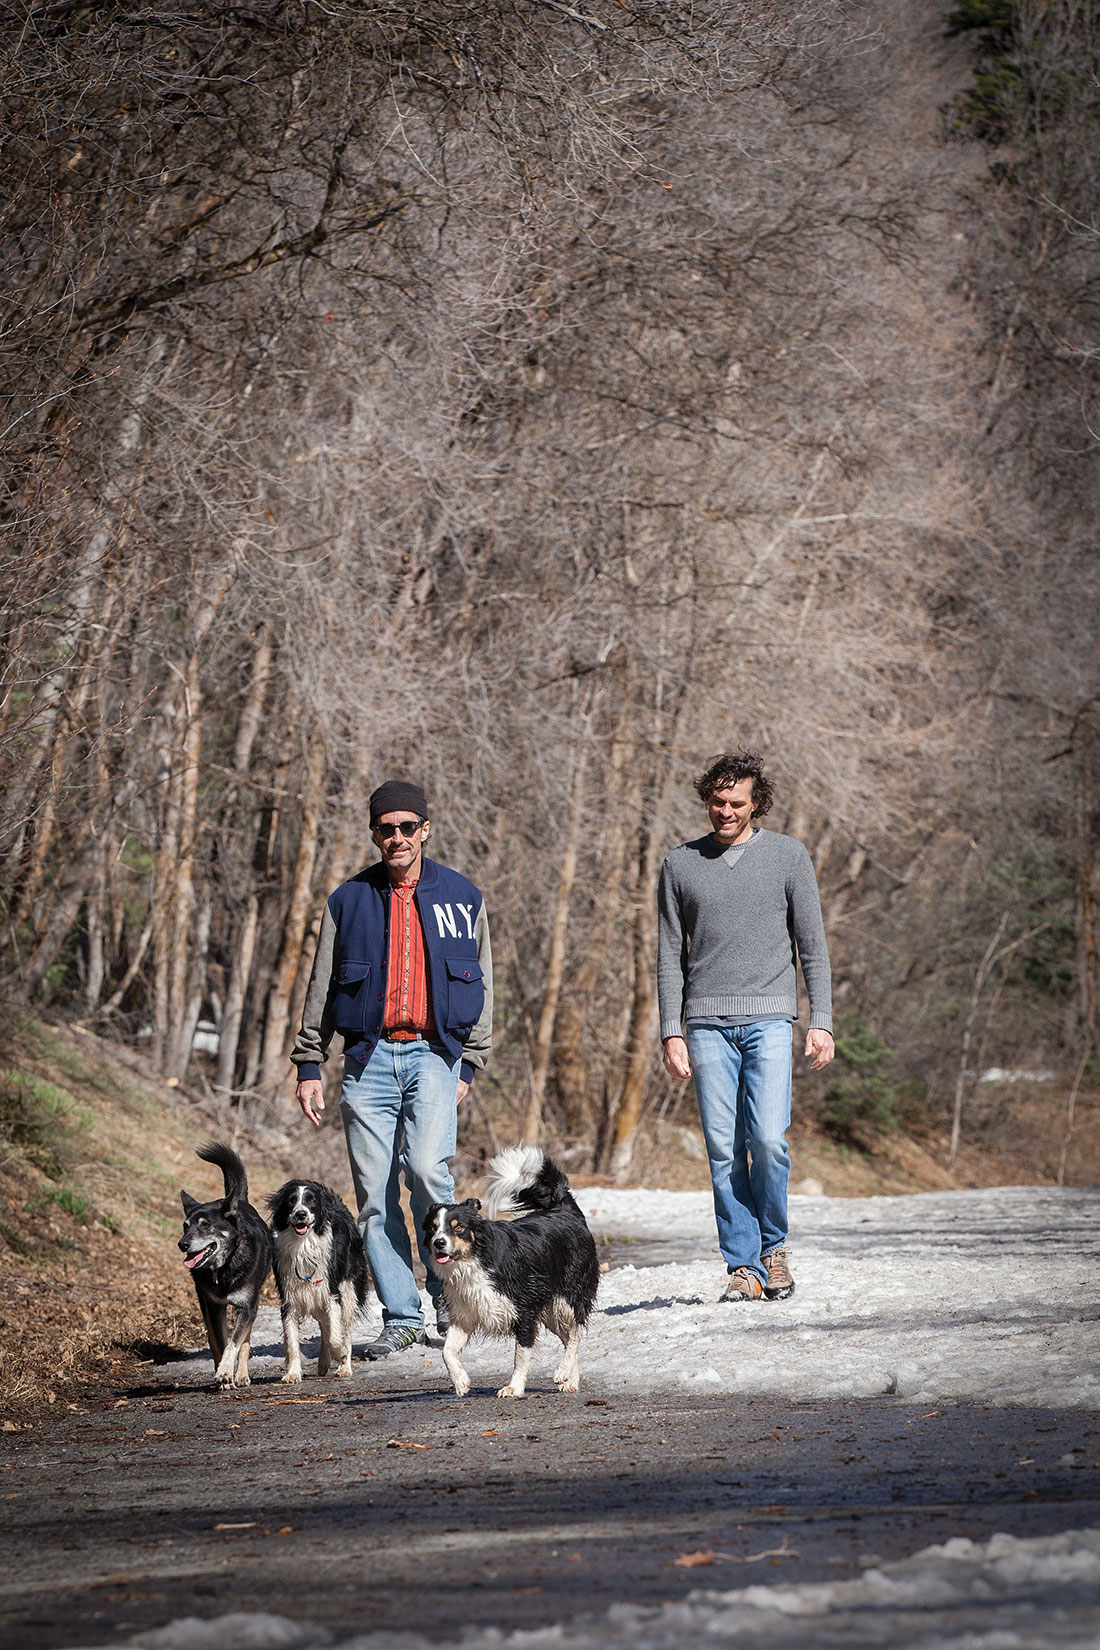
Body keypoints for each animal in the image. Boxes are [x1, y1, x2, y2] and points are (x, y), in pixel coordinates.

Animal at [177, 1141, 272, 1386]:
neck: (224, 1267)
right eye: (185, 1226)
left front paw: (228, 1372)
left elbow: (236, 1342)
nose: (182, 1244)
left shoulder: (247, 1307)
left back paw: (242, 1375)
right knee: (213, 1339)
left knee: (245, 1342)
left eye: (205, 1225)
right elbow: (220, 1342)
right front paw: (223, 1374)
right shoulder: (214, 1307)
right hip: (204, 1304)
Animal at [425, 1148, 597, 1405]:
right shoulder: (465, 1313)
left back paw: (562, 1371)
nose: (439, 1243)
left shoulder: (524, 1311)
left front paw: (514, 1388)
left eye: (458, 1228)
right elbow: (447, 1352)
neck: (476, 1259)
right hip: (550, 1310)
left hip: (568, 1296)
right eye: (433, 1228)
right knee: (568, 1337)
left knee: (575, 1333)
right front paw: (461, 1382)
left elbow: (520, 1356)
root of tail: (566, 1211)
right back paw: (571, 1381)